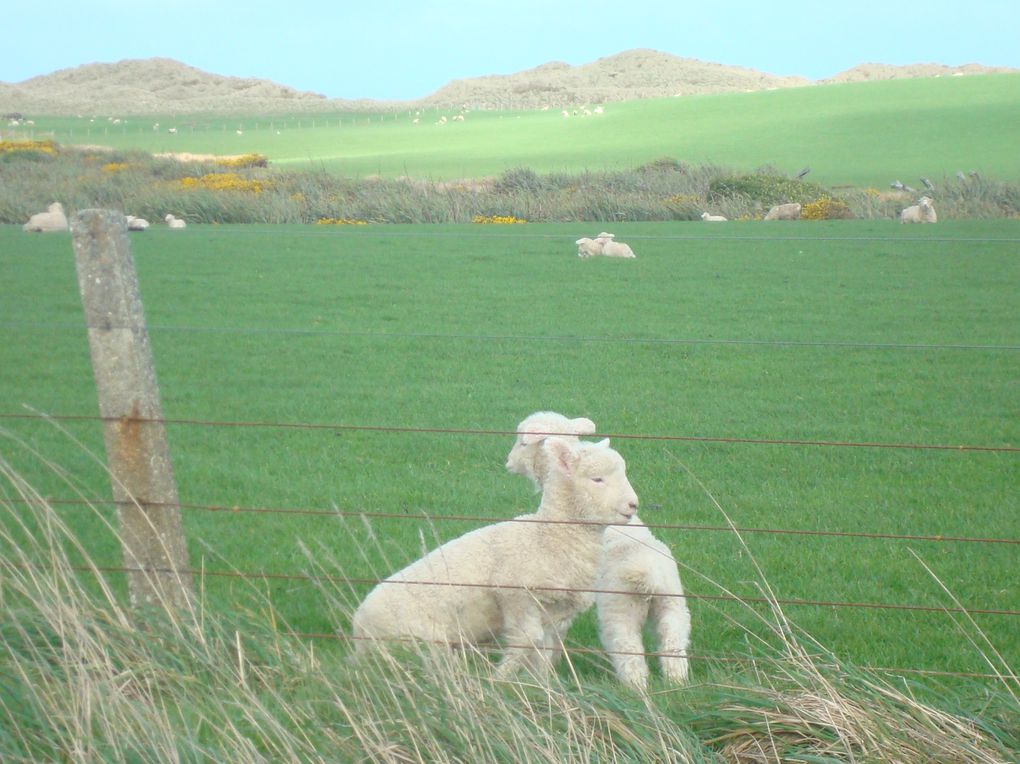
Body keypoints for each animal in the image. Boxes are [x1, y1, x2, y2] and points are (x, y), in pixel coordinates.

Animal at [350, 432, 636, 677]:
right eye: (597, 479)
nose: (634, 505)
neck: (547, 536)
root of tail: (357, 628)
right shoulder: (516, 594)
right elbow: (527, 640)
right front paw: (502, 679)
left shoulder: (553, 609)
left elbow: (544, 648)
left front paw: (542, 684)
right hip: (417, 643)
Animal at [507, 412, 693, 689]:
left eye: (521, 443)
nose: (508, 463)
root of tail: (645, 573)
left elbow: (553, 636)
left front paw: (545, 672)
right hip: (672, 605)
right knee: (673, 647)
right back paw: (677, 684)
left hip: (620, 611)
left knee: (630, 656)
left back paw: (635, 689)